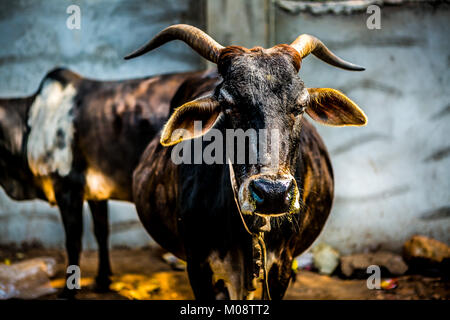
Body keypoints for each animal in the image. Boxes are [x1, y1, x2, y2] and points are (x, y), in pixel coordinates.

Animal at [0, 65, 214, 298]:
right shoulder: (95, 190)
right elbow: (101, 231)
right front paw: (103, 280)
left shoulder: (67, 188)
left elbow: (73, 242)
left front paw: (68, 291)